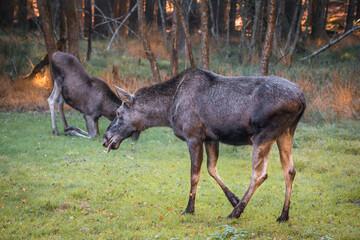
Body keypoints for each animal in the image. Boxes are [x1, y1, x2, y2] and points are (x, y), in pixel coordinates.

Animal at [102, 68, 306, 222]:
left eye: (119, 113)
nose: (105, 138)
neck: (167, 112)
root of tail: (303, 99)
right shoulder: (211, 137)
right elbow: (211, 168)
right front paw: (233, 199)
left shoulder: (193, 136)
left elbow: (195, 175)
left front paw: (189, 209)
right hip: (286, 132)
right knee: (290, 170)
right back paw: (283, 215)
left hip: (264, 134)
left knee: (260, 174)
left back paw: (235, 213)